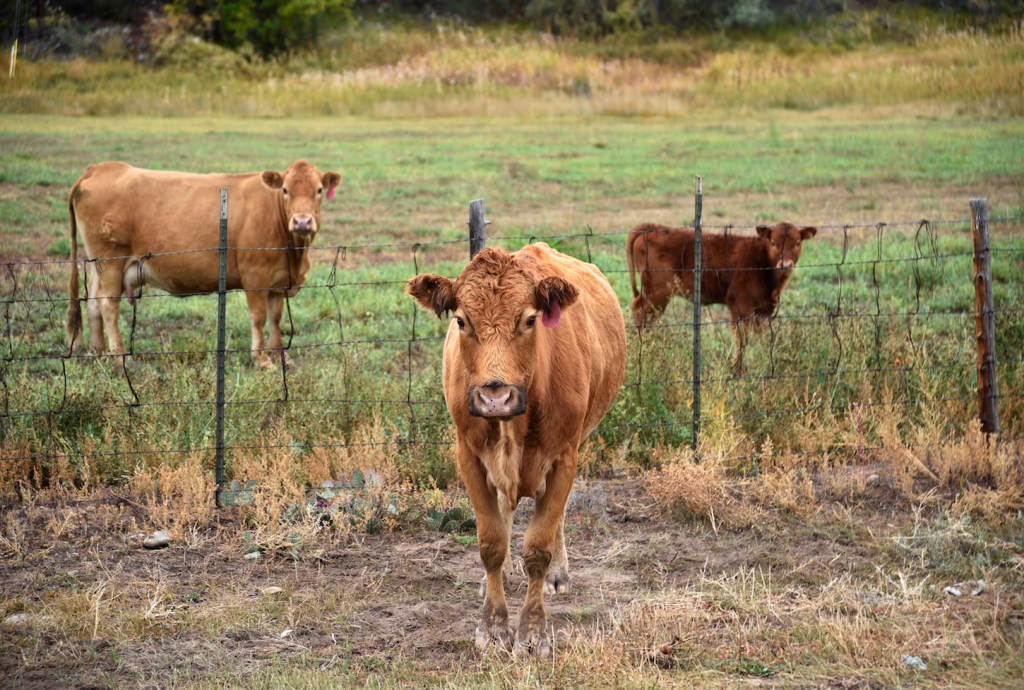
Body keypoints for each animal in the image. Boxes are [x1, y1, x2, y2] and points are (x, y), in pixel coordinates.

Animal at [66, 159, 342, 364]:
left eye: (318, 190)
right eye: (285, 190)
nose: (302, 221)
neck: (293, 252)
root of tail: (101, 167)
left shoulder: (279, 281)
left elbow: (275, 319)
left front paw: (281, 357)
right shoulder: (255, 275)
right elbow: (259, 317)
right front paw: (262, 360)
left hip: (97, 264)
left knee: (93, 301)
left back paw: (99, 351)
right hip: (111, 260)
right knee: (107, 303)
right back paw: (120, 355)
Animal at [405, 243, 622, 655]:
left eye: (529, 319)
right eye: (461, 321)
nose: (495, 397)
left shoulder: (564, 457)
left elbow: (539, 547)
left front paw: (533, 631)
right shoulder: (469, 456)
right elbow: (491, 542)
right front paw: (492, 626)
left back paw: (557, 573)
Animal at [622, 220, 815, 372]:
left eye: (797, 242)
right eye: (773, 242)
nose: (785, 264)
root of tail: (653, 227)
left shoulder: (763, 310)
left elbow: (760, 338)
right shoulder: (739, 305)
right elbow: (741, 340)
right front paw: (738, 371)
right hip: (658, 291)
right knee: (640, 311)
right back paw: (644, 348)